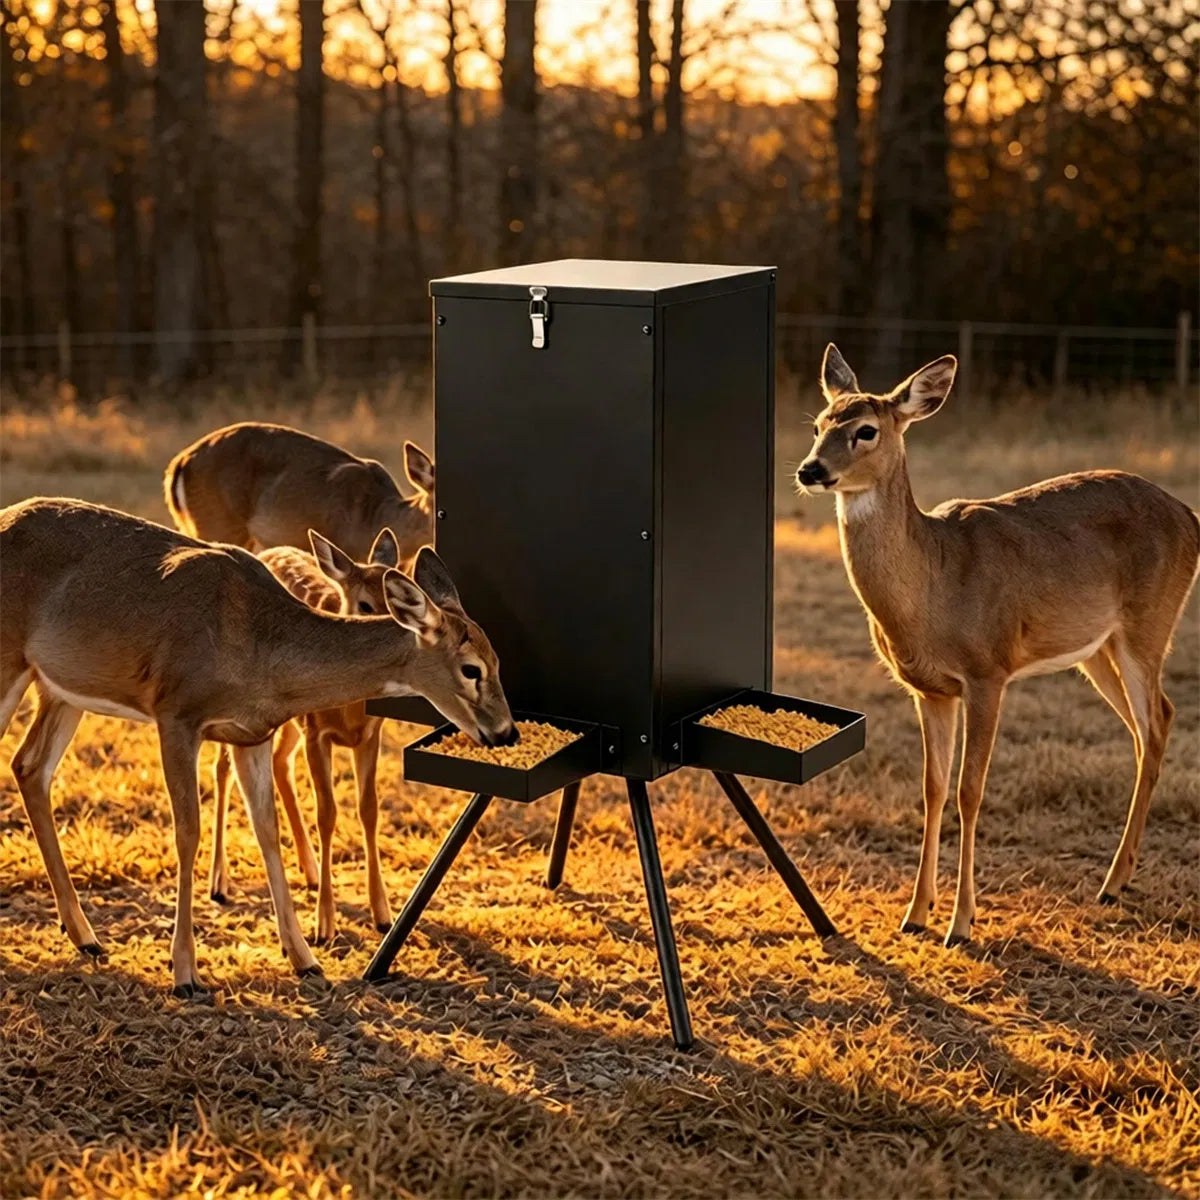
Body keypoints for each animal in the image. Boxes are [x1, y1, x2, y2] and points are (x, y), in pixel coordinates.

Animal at [209, 527, 405, 946]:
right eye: (365, 604)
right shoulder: (318, 732)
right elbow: (327, 813)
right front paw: (324, 925)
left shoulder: (370, 735)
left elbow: (369, 809)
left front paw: (383, 914)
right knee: (223, 768)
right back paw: (219, 882)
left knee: (279, 763)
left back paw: (311, 870)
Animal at [796, 345, 1199, 947]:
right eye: (820, 424)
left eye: (866, 430)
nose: (810, 469)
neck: (933, 586)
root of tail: (1190, 518)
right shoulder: (930, 690)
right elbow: (933, 787)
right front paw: (915, 914)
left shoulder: (988, 671)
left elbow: (970, 789)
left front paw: (961, 923)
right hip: (1096, 648)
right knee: (1150, 724)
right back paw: (1118, 878)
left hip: (1148, 625)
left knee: (1155, 722)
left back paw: (1110, 883)